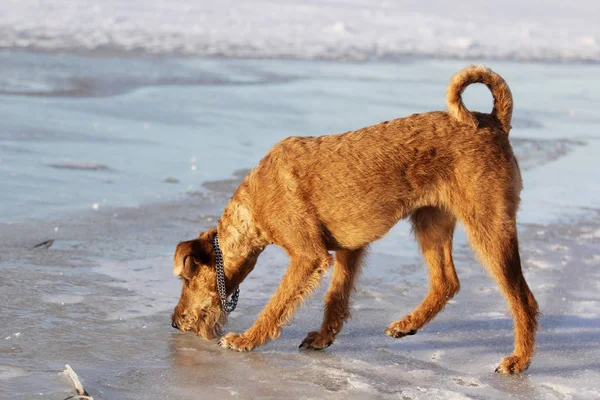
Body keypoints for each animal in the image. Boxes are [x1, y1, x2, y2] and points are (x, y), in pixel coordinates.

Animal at [172, 65, 540, 376]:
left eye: (186, 279)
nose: (175, 322)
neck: (255, 203)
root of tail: (493, 121)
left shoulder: (308, 256)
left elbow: (277, 303)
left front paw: (247, 339)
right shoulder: (349, 249)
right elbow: (336, 297)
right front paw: (323, 338)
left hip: (488, 226)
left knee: (522, 298)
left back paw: (518, 360)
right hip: (431, 222)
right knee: (446, 282)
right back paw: (407, 324)